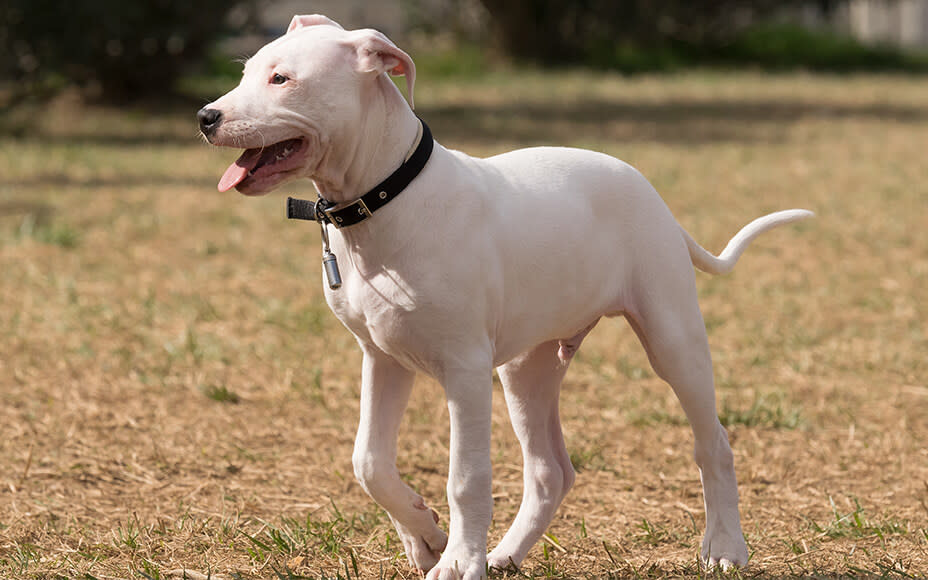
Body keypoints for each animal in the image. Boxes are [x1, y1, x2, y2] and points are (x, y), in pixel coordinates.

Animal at [198, 14, 812, 580]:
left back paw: (725, 547)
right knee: (550, 472)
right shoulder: (383, 359)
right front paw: (425, 536)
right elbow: (368, 461)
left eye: (281, 79)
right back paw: (506, 555)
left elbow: (466, 477)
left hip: (671, 337)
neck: (386, 199)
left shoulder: (465, 370)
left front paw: (456, 559)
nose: (206, 118)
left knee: (714, 443)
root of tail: (647, 188)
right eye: (247, 72)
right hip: (527, 369)